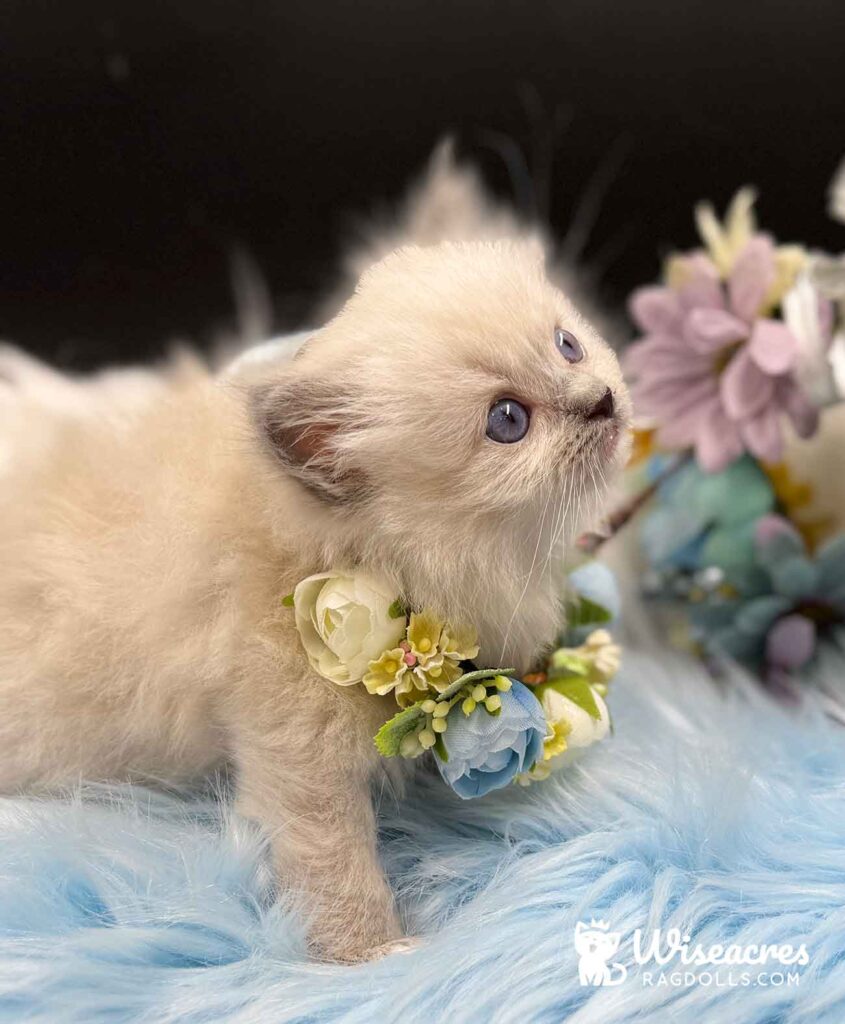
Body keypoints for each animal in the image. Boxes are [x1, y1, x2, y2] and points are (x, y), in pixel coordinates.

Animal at [0, 237, 630, 958]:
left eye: (567, 345)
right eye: (507, 420)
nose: (602, 400)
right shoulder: (296, 752)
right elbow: (335, 867)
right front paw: (377, 956)